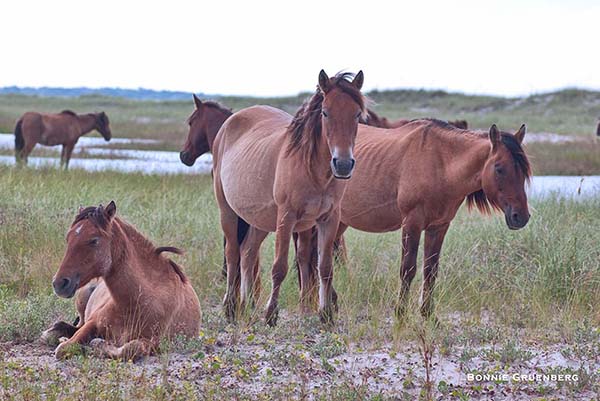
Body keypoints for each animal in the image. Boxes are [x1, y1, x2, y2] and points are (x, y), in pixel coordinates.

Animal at [42, 200, 202, 360]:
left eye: (94, 240)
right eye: (68, 238)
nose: (59, 283)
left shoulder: (152, 343)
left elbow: (130, 348)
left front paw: (97, 345)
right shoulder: (92, 322)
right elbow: (65, 347)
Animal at [213, 70, 368, 324]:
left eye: (357, 114)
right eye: (325, 112)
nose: (343, 164)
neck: (313, 170)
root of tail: (228, 124)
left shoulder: (329, 219)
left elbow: (325, 267)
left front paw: (326, 314)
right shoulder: (286, 218)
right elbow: (280, 267)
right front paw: (271, 314)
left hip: (261, 220)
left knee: (247, 253)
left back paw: (247, 304)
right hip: (228, 212)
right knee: (233, 254)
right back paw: (231, 306)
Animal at [296, 119, 528, 318]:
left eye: (523, 171)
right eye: (499, 168)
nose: (521, 217)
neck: (440, 164)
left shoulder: (438, 227)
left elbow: (430, 270)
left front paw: (428, 315)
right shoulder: (412, 224)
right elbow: (408, 269)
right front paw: (401, 314)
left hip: (339, 221)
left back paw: (329, 302)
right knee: (309, 256)